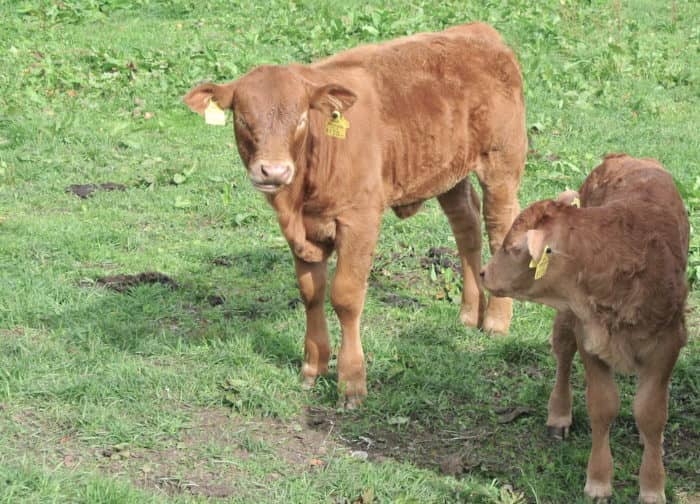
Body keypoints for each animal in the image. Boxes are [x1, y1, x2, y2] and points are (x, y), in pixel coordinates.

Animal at [186, 24, 524, 410]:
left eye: (301, 119)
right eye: (243, 119)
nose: (273, 171)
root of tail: (476, 31)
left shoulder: (359, 220)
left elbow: (345, 297)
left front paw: (351, 382)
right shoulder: (301, 233)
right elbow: (311, 293)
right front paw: (313, 367)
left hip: (501, 165)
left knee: (499, 229)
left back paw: (495, 321)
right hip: (447, 173)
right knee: (466, 227)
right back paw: (469, 314)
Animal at [482, 155, 688, 504]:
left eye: (512, 248)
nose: (483, 273)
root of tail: (623, 157)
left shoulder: (668, 343)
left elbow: (651, 413)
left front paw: (652, 486)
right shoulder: (589, 337)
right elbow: (603, 406)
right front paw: (599, 481)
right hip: (567, 320)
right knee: (563, 354)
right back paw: (559, 415)